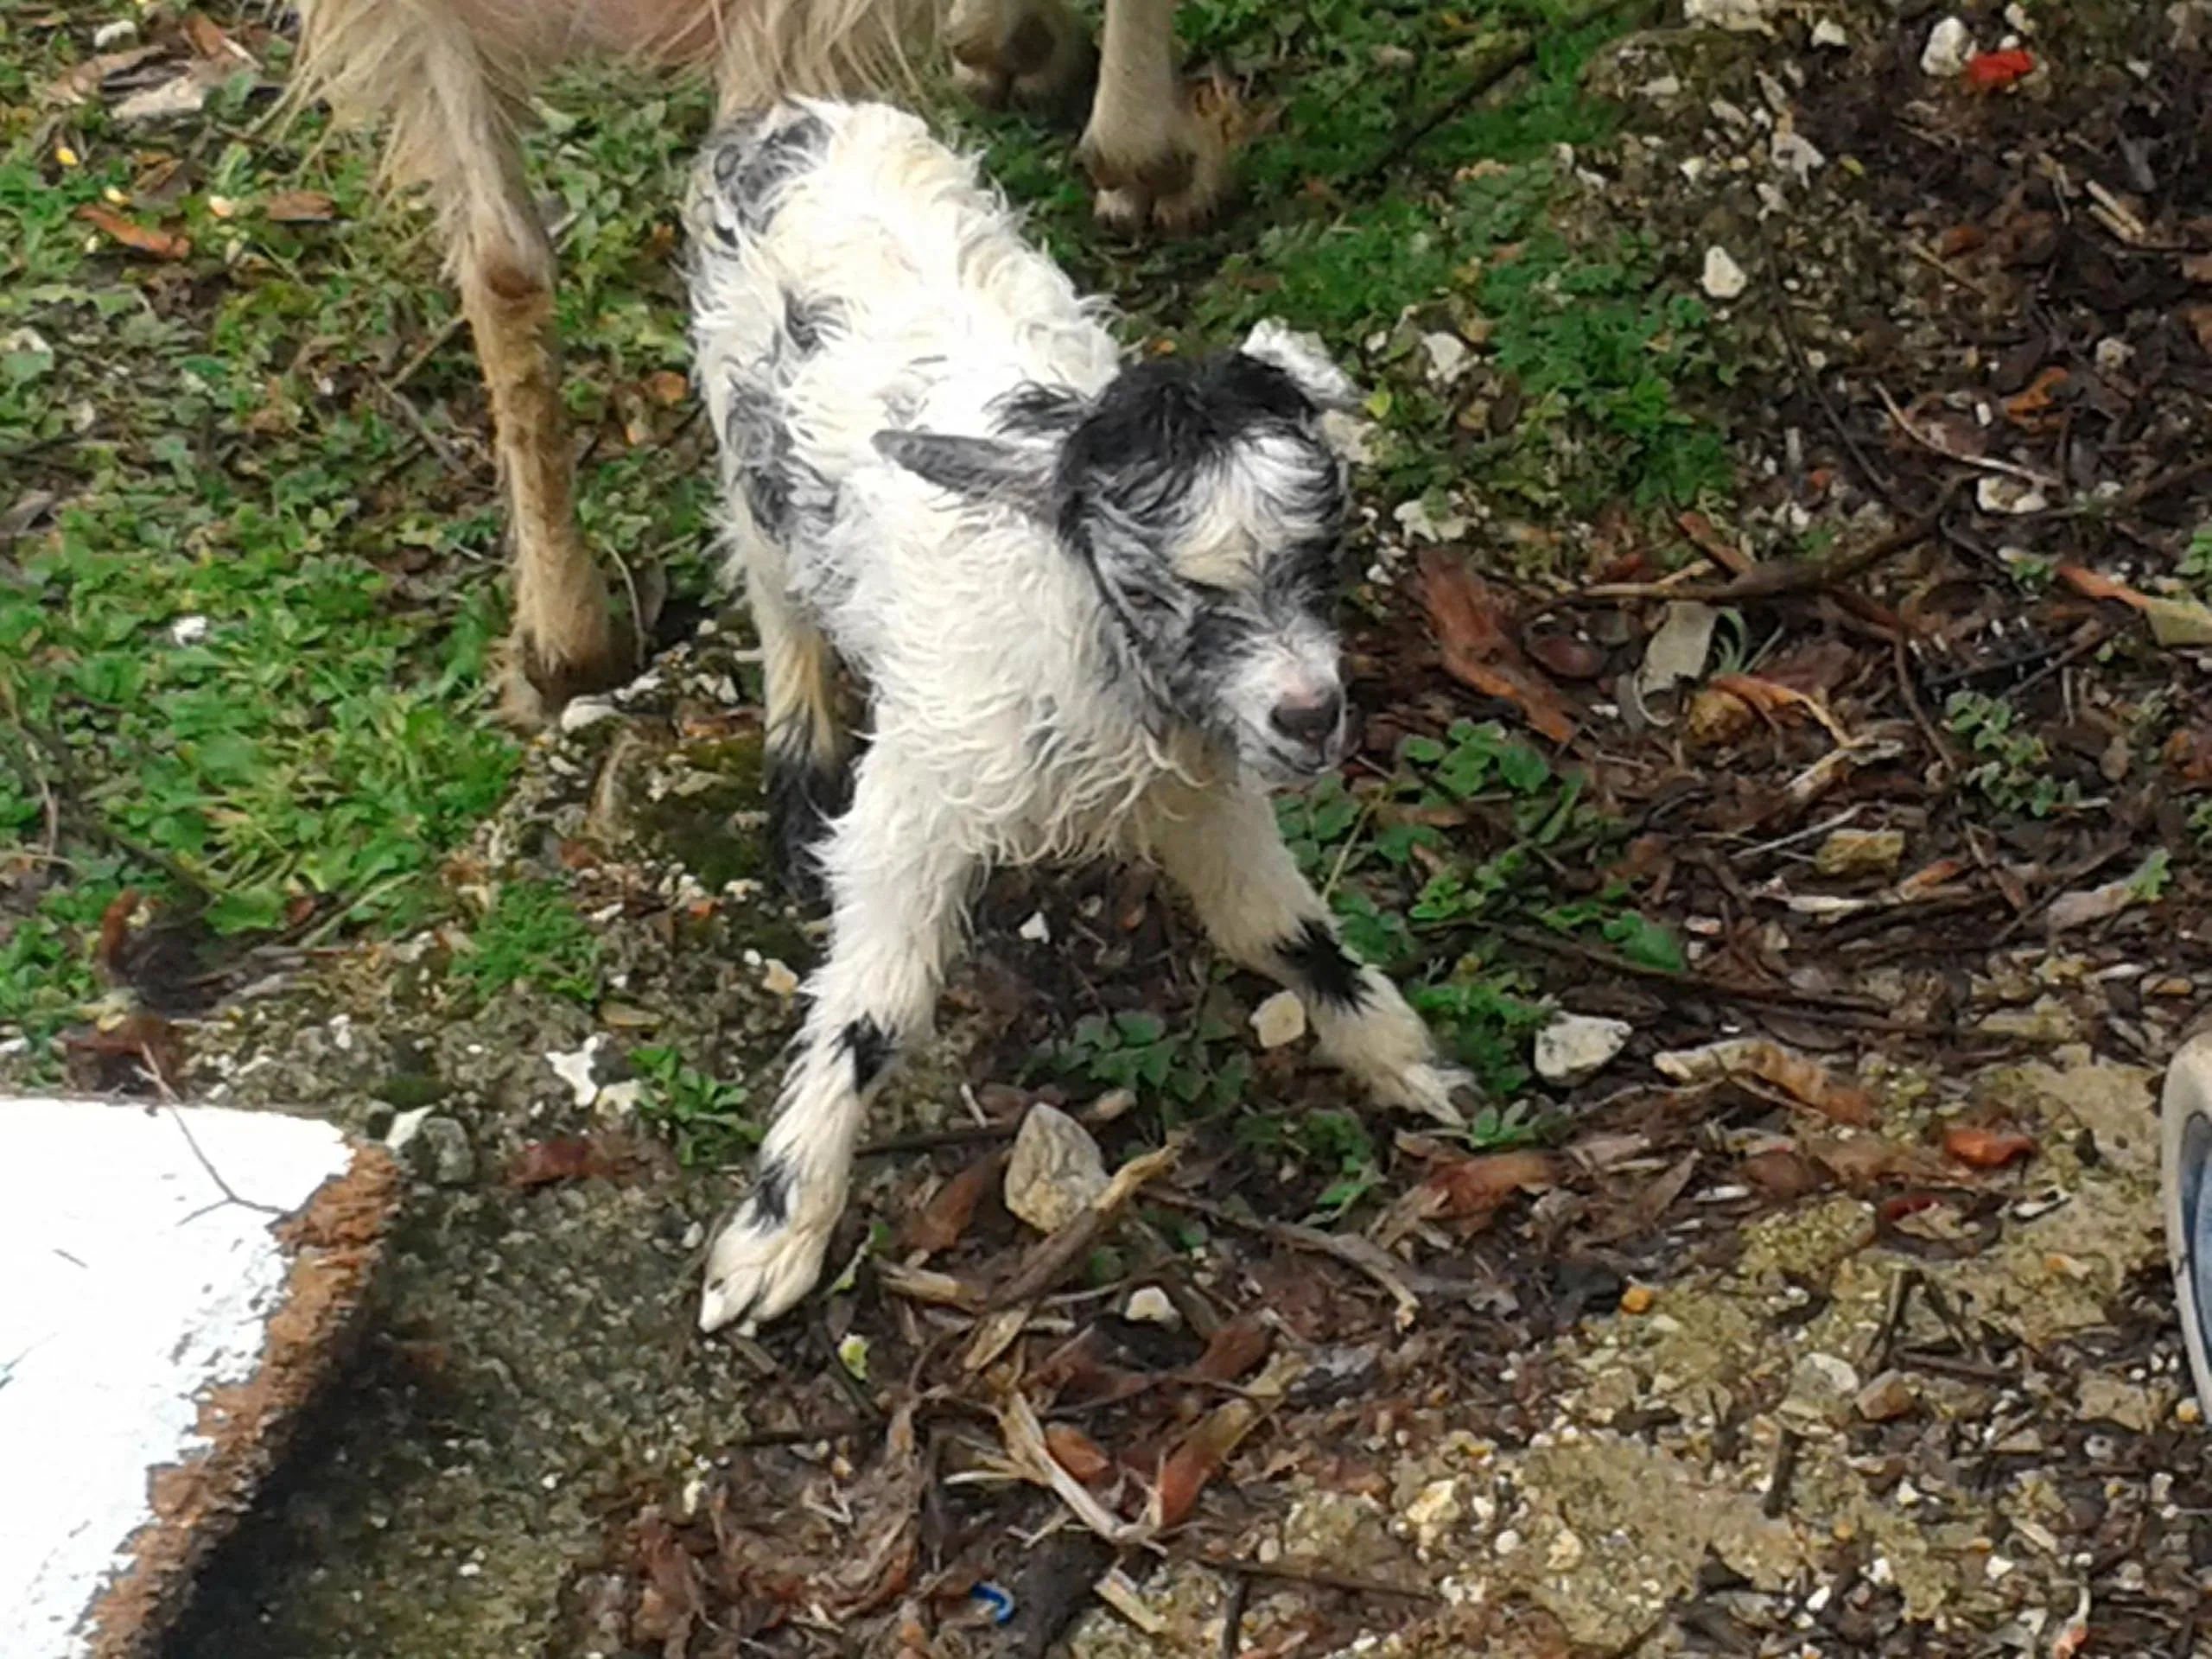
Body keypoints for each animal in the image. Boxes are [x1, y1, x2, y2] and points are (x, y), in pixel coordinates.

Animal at [684, 99, 1471, 1334]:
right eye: (1157, 584)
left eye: (1324, 555)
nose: (1311, 716)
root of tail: (788, 117)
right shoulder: (917, 799)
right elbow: (874, 1010)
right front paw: (773, 1240)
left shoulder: (1207, 789)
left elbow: (1280, 929)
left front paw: (1412, 1064)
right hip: (748, 451)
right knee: (775, 595)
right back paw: (797, 772)